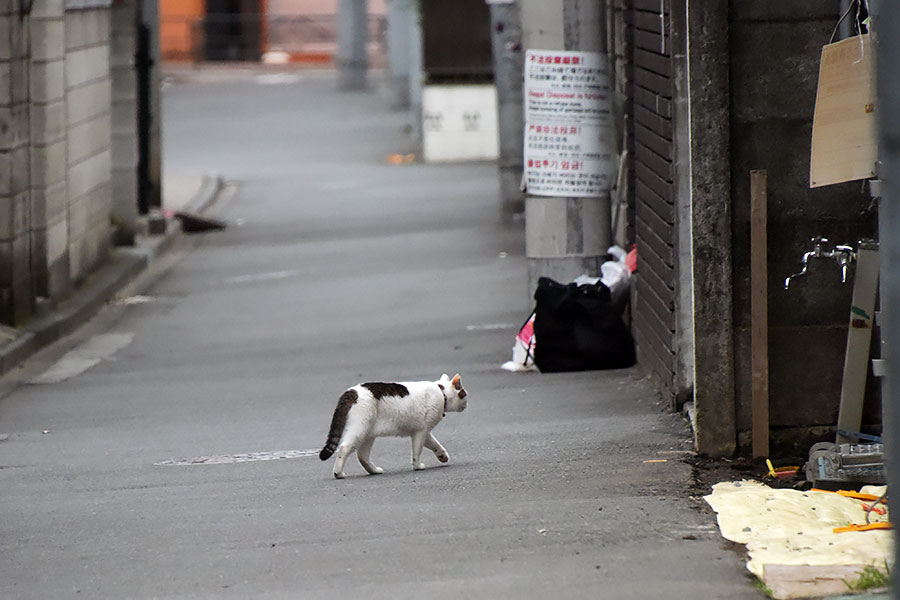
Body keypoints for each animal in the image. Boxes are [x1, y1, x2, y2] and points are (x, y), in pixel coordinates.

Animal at [320, 372, 468, 480]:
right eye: (464, 393)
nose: (467, 405)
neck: (441, 393)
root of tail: (351, 391)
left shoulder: (424, 432)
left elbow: (435, 444)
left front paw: (442, 455)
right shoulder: (420, 432)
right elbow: (417, 451)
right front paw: (417, 466)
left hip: (368, 434)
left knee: (362, 456)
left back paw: (374, 470)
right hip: (359, 430)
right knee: (344, 448)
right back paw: (338, 473)